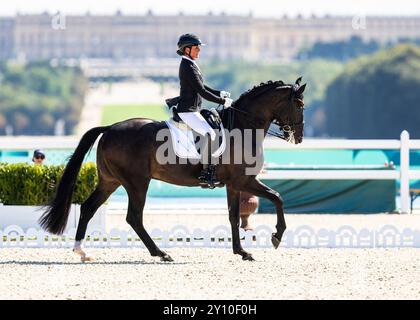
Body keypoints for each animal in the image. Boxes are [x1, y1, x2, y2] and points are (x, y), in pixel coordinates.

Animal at [39, 78, 306, 262]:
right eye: (300, 104)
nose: (299, 137)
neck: (243, 126)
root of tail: (110, 127)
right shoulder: (244, 181)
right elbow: (277, 197)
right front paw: (276, 236)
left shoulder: (234, 184)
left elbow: (233, 216)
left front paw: (241, 252)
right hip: (137, 182)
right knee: (133, 217)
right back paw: (161, 253)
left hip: (110, 181)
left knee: (88, 208)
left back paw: (81, 251)